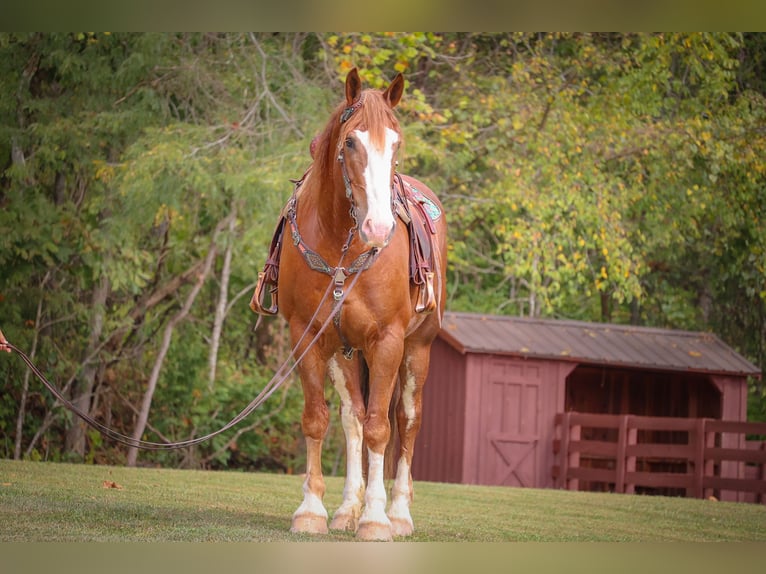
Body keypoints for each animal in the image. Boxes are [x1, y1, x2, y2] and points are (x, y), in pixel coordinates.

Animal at [266, 68, 447, 541]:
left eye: (397, 143)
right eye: (350, 142)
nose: (378, 227)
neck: (340, 243)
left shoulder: (387, 342)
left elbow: (381, 429)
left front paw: (377, 518)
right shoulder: (308, 335)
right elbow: (320, 419)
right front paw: (312, 510)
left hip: (417, 350)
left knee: (407, 419)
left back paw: (398, 512)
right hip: (345, 352)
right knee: (352, 419)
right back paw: (348, 508)